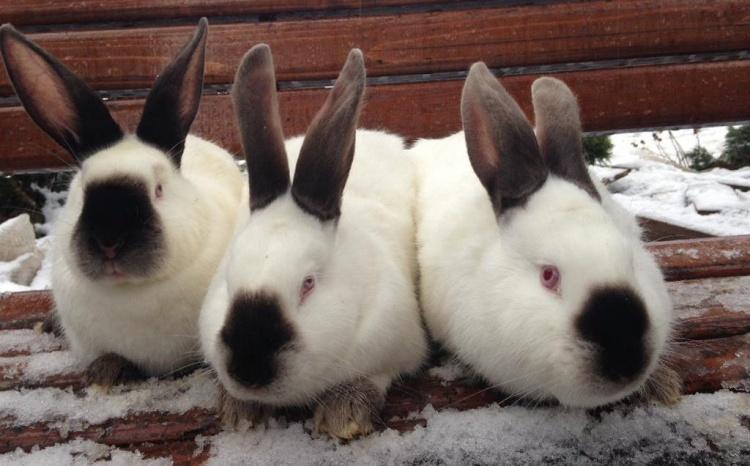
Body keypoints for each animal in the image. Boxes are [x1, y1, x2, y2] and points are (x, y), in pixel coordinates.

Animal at [199, 44, 428, 440]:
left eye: (308, 284)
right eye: (227, 281)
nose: (249, 370)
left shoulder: (397, 343)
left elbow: (372, 376)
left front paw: (343, 415)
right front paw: (239, 411)